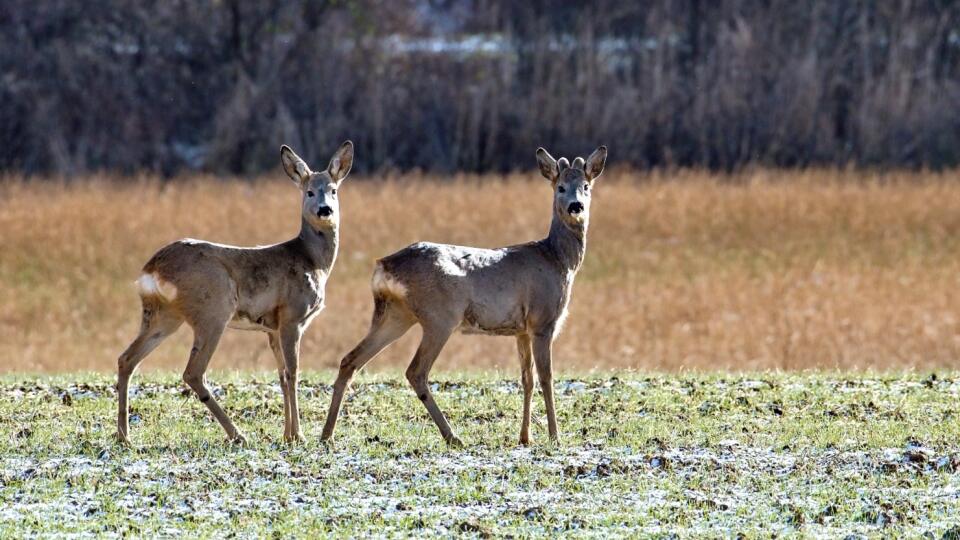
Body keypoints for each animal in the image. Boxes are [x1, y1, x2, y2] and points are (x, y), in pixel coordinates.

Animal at [116, 141, 354, 446]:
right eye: (309, 191)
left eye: (333, 190)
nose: (325, 210)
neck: (312, 261)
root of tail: (152, 269)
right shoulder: (293, 316)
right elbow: (293, 373)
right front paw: (298, 435)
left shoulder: (272, 328)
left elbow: (281, 376)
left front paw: (287, 434)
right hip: (213, 310)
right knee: (193, 371)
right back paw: (238, 434)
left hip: (162, 315)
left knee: (127, 359)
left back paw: (124, 436)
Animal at [322, 143, 608, 448]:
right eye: (561, 187)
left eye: (586, 186)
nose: (576, 206)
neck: (558, 259)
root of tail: (383, 265)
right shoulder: (543, 321)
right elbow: (547, 377)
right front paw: (555, 437)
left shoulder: (521, 329)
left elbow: (526, 379)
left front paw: (525, 437)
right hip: (439, 317)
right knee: (415, 371)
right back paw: (452, 436)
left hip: (394, 315)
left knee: (350, 360)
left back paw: (327, 435)